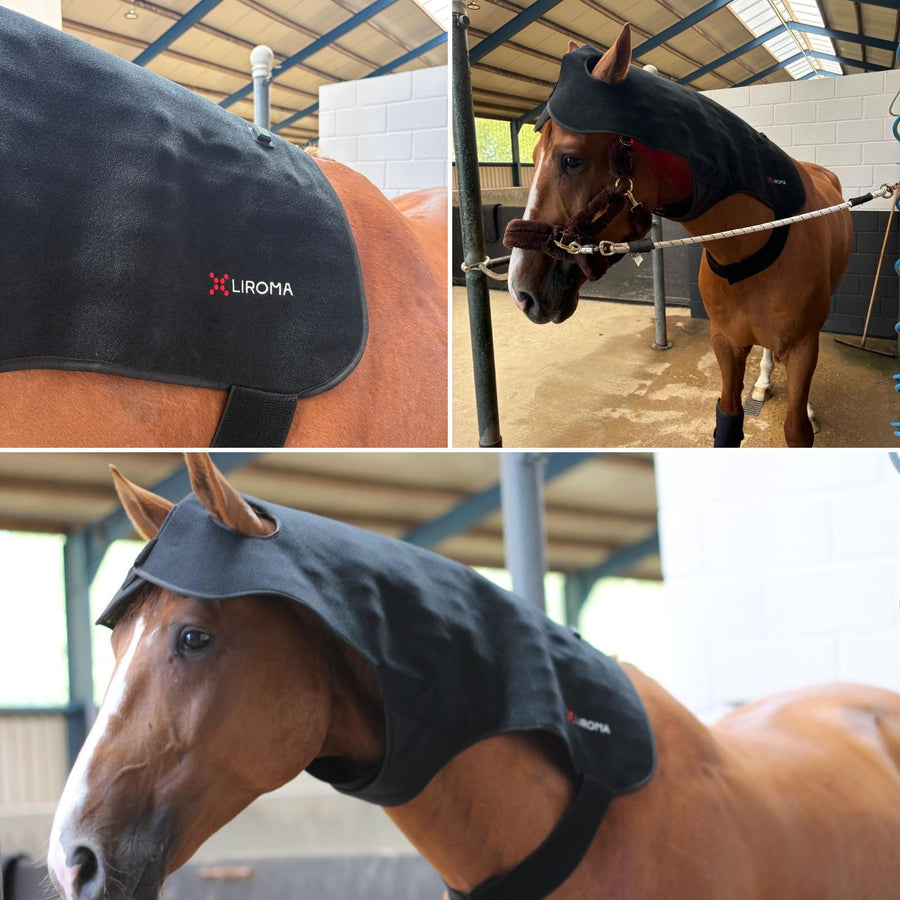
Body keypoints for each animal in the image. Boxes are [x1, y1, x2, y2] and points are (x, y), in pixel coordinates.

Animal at [505, 24, 852, 447]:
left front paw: (804, 412)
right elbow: (728, 419)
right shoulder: (726, 344)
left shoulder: (802, 347)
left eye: (571, 159)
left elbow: (796, 428)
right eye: (532, 156)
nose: (520, 292)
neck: (753, 243)